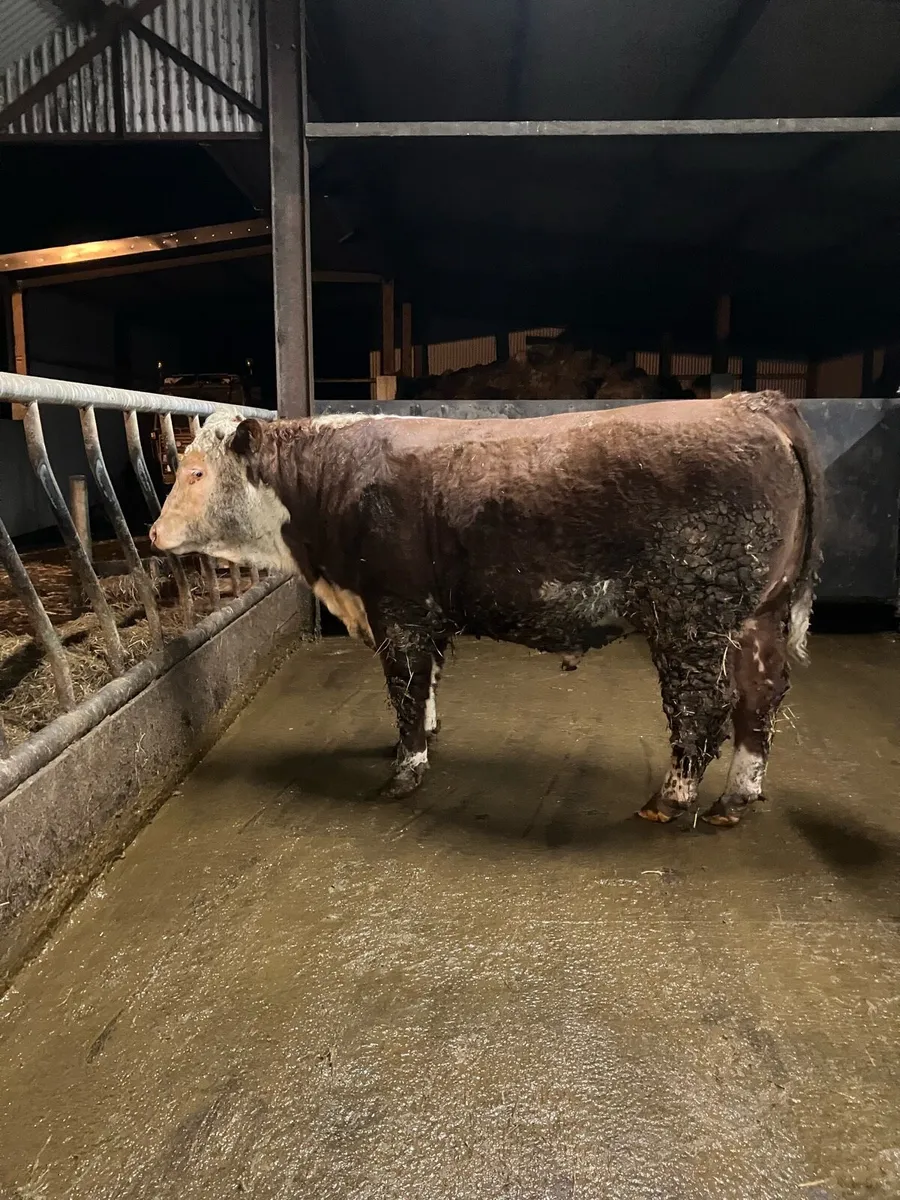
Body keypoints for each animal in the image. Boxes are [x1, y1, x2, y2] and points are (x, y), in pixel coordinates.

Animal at [149, 393, 822, 828]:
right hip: (759, 616)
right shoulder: (421, 614)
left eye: (197, 471)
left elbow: (405, 687)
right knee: (760, 696)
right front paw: (425, 737)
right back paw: (734, 800)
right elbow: (426, 686)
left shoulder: (397, 607)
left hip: (691, 616)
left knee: (702, 704)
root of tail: (751, 403)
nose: (154, 534)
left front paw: (404, 772)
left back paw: (670, 801)